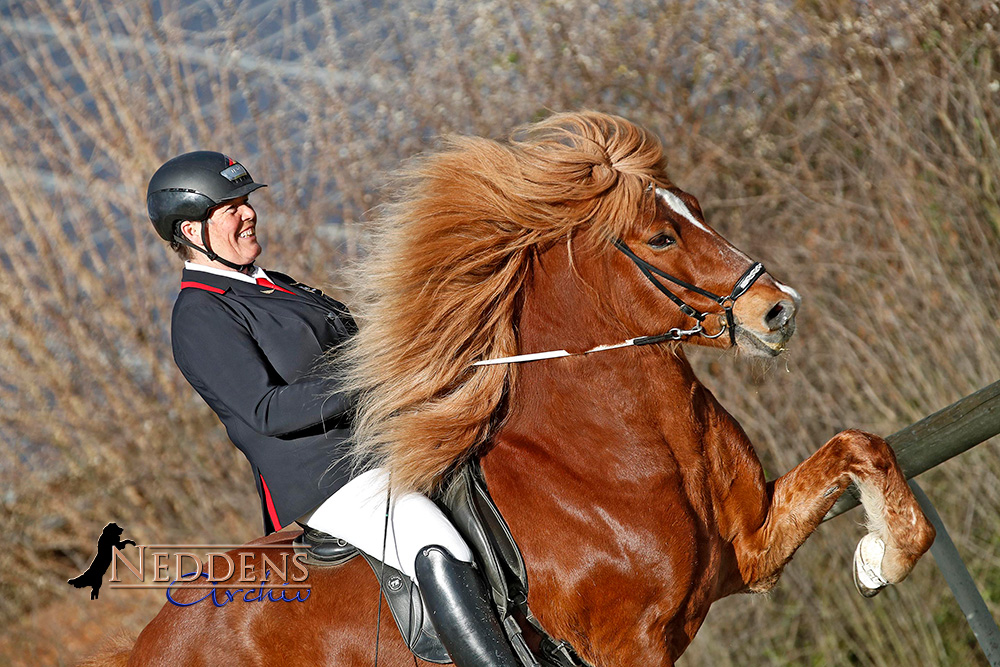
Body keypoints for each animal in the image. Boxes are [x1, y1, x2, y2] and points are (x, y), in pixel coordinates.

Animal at [115, 112, 928, 664]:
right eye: (661, 237)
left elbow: (860, 448)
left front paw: (879, 557)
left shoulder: (750, 548)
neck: (604, 462)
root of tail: (148, 642)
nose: (778, 309)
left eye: (694, 208)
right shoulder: (629, 647)